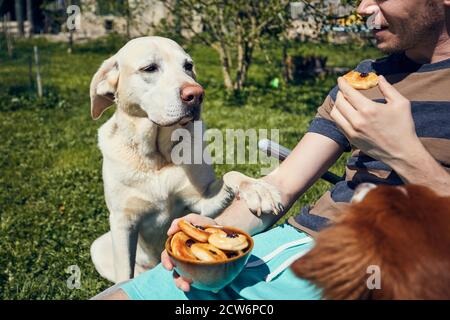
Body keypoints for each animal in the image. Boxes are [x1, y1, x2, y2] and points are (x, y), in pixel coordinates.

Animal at [89, 36, 284, 284]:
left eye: (188, 66)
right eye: (149, 68)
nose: (196, 94)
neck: (157, 157)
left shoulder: (202, 203)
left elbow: (230, 175)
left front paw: (258, 189)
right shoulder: (123, 222)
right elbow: (125, 274)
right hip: (99, 246)